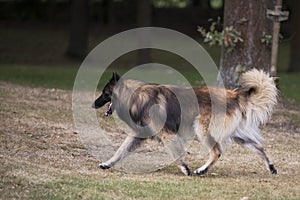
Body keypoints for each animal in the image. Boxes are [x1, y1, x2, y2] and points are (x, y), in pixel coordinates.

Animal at [92, 69, 278, 176]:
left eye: (104, 93)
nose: (93, 104)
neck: (134, 96)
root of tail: (234, 95)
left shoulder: (167, 134)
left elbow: (175, 153)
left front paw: (185, 169)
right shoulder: (138, 134)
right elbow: (120, 151)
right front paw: (107, 163)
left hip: (202, 129)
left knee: (217, 152)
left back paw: (202, 170)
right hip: (238, 135)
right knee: (259, 147)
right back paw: (271, 167)